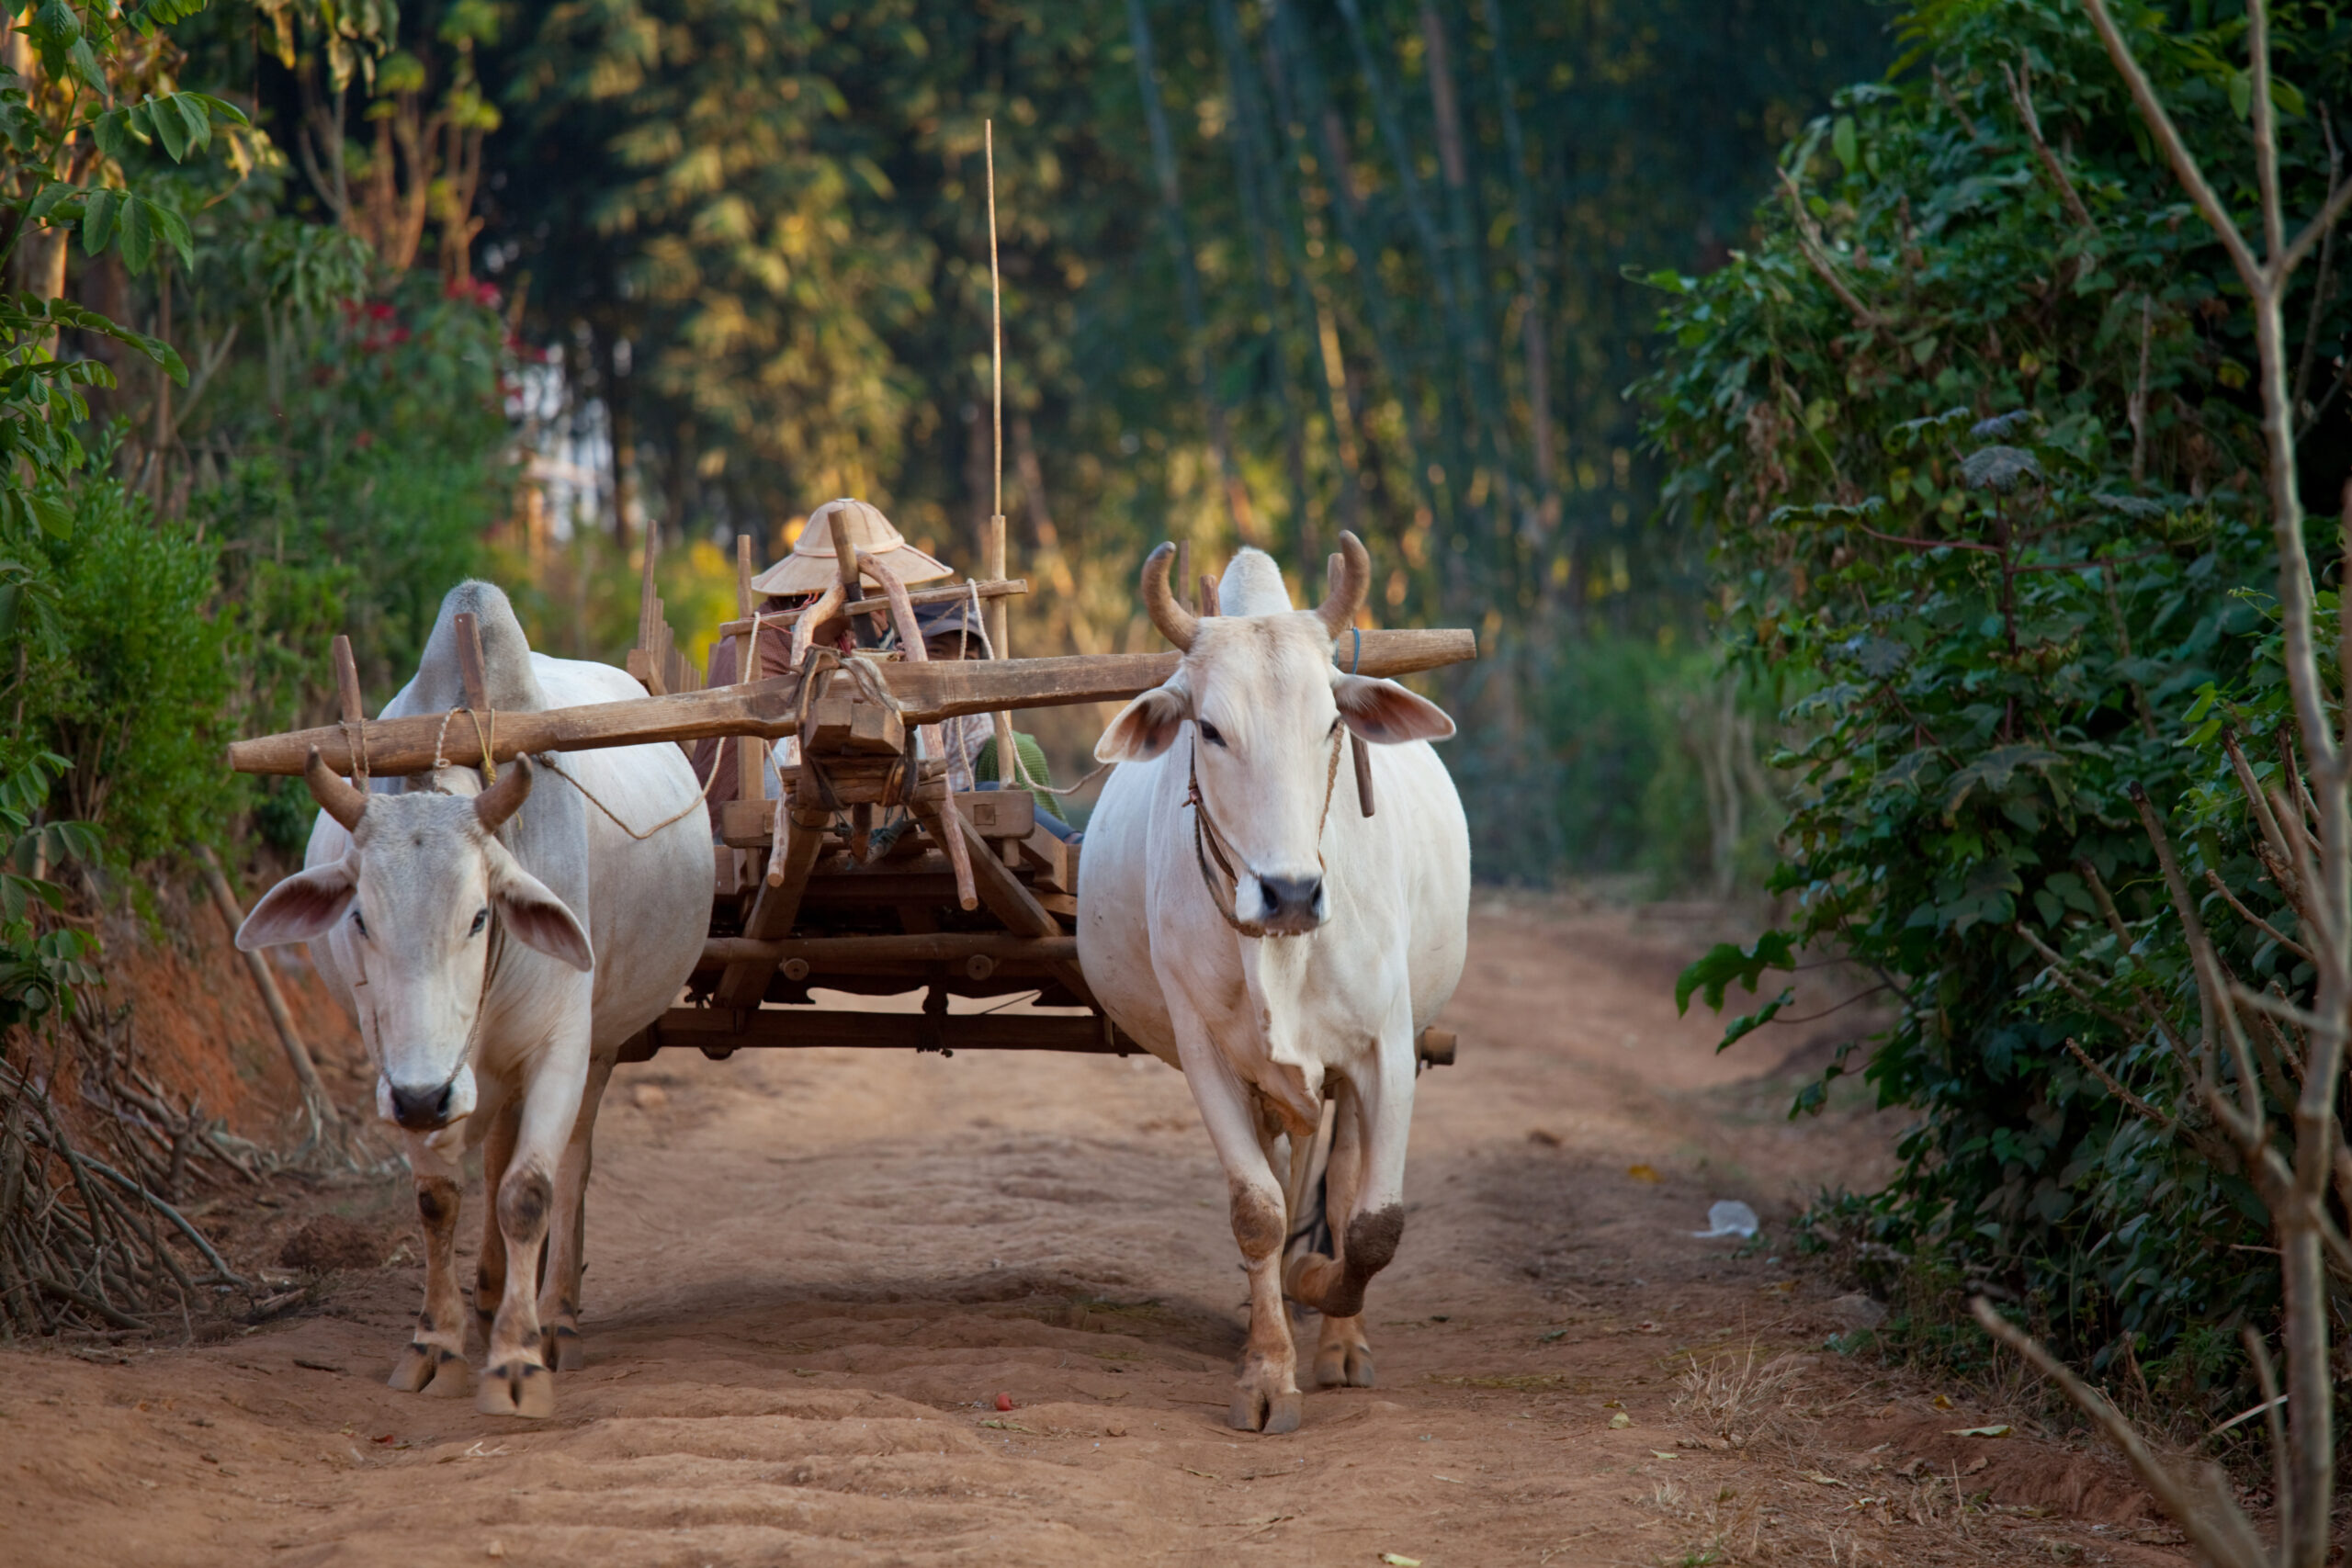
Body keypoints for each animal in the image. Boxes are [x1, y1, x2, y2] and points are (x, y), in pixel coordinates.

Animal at [237, 583, 710, 1418]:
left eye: (481, 916)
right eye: (360, 918)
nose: (424, 1097)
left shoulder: (561, 1043)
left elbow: (530, 1190)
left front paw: (518, 1360)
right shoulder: (397, 1062)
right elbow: (439, 1197)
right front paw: (436, 1343)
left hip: (600, 1045)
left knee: (571, 1164)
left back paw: (555, 1318)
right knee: (492, 1152)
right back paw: (490, 1297)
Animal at [1077, 534, 1469, 1433]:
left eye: (1330, 722)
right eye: (1210, 729)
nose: (1290, 892)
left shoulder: (1388, 1049)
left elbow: (1374, 1226)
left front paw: (1317, 1295)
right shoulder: (1206, 1055)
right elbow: (1257, 1212)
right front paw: (1265, 1371)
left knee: (1344, 1182)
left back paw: (1337, 1340)